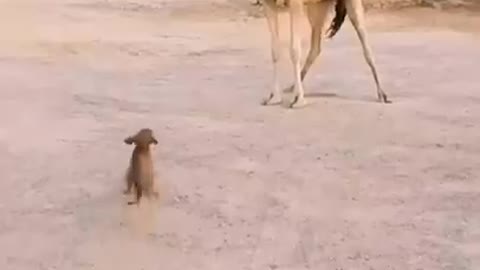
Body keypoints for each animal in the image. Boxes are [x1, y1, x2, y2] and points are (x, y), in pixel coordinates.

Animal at [258, 0, 390, 107]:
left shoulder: (295, 3)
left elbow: (295, 50)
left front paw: (298, 100)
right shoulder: (268, 2)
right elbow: (275, 50)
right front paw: (273, 97)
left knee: (363, 37)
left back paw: (382, 94)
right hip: (318, 6)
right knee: (316, 46)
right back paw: (292, 86)